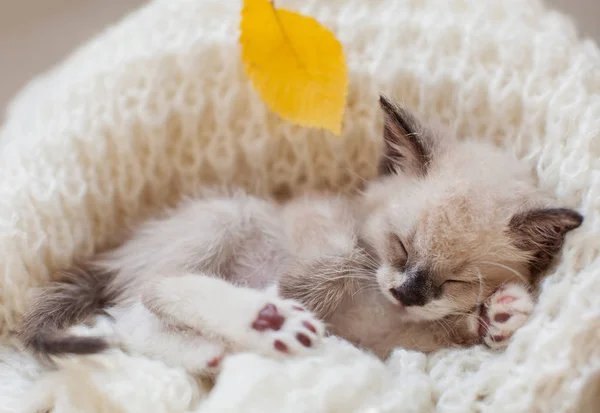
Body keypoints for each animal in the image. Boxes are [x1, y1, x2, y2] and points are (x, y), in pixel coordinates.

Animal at [17, 96, 580, 370]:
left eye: (456, 281)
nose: (406, 292)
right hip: (228, 214)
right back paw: (263, 321)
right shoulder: (332, 236)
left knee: (127, 318)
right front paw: (294, 294)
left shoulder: (399, 343)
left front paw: (502, 313)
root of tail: (114, 257)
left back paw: (224, 348)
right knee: (145, 299)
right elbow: (336, 266)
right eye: (399, 245)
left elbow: (453, 332)